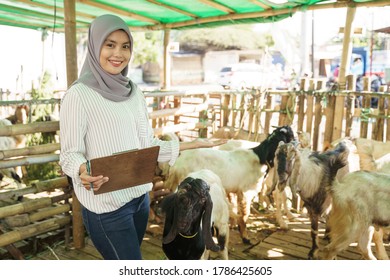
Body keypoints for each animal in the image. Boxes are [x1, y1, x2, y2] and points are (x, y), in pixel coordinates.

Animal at [163, 126, 294, 244]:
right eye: (289, 138)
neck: (260, 158)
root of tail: (179, 160)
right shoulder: (245, 192)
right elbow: (245, 215)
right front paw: (245, 237)